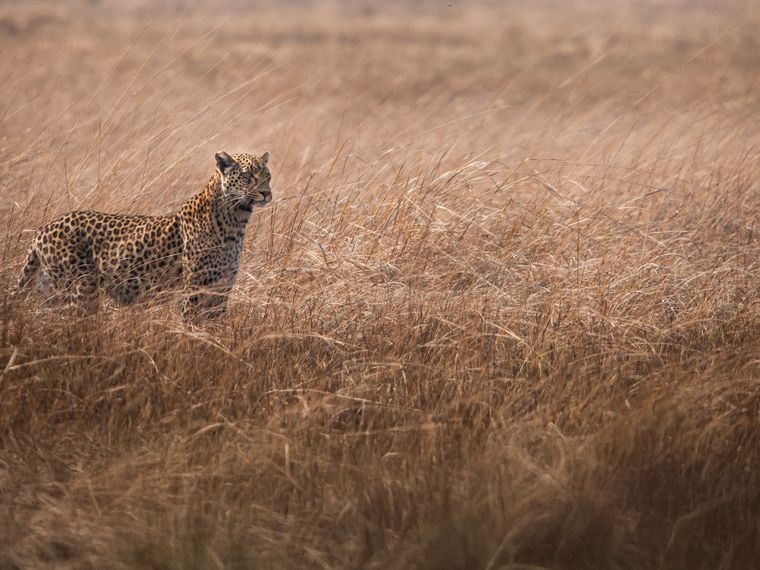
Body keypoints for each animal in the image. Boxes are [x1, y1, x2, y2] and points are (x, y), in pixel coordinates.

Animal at [14, 150, 272, 320]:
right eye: (248, 176)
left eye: (267, 175)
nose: (266, 193)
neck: (236, 221)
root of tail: (44, 228)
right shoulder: (194, 290)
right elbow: (191, 329)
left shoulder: (220, 289)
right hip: (79, 291)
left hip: (50, 291)